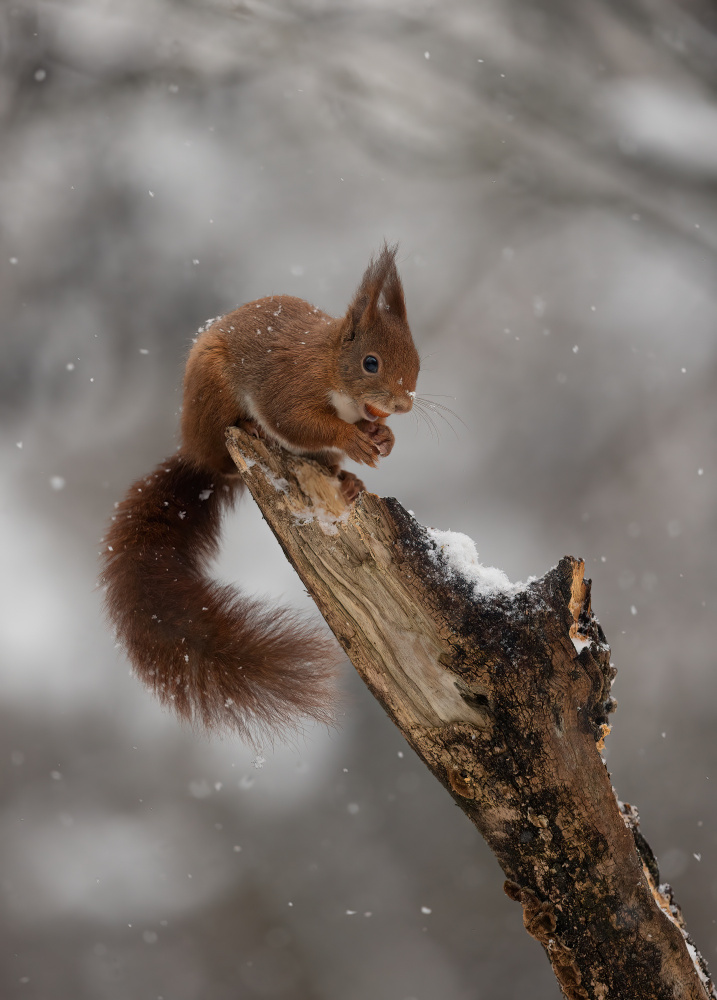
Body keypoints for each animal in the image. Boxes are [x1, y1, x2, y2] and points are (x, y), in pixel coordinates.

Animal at [100, 243, 420, 744]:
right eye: (371, 362)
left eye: (417, 357)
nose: (404, 404)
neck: (333, 367)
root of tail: (196, 455)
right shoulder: (291, 385)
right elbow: (299, 421)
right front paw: (354, 439)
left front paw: (382, 439)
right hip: (214, 398)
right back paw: (251, 430)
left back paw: (346, 481)